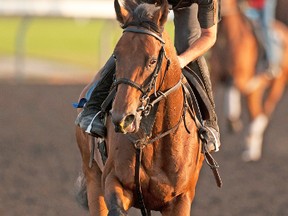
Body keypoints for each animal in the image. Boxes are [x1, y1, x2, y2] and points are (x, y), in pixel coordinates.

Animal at [209, 0, 288, 161]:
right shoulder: (215, 77)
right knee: (256, 112)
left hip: (277, 85)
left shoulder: (243, 80)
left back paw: (252, 148)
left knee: (263, 113)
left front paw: (233, 120)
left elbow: (233, 85)